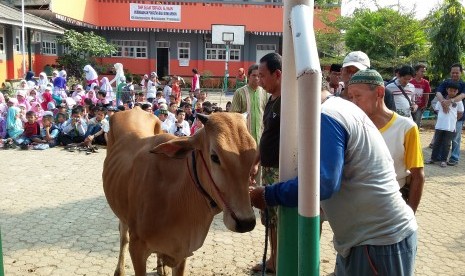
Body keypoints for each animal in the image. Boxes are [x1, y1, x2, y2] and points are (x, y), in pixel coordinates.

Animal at [102, 106, 258, 274]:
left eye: (253, 157)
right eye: (214, 157)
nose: (246, 222)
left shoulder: (183, 252)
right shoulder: (137, 248)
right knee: (123, 236)